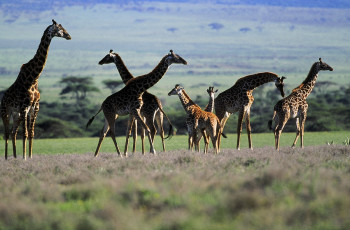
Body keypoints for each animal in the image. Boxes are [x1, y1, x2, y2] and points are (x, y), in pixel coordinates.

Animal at [0, 19, 71, 159]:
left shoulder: (35, 107)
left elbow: (31, 133)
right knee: (6, 133)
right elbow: (25, 134)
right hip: (5, 112)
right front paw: (24, 158)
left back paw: (14, 157)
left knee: (13, 132)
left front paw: (30, 157)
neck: (33, 79)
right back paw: (6, 158)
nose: (69, 36)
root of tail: (3, 97)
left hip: (16, 115)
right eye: (60, 29)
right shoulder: (24, 107)